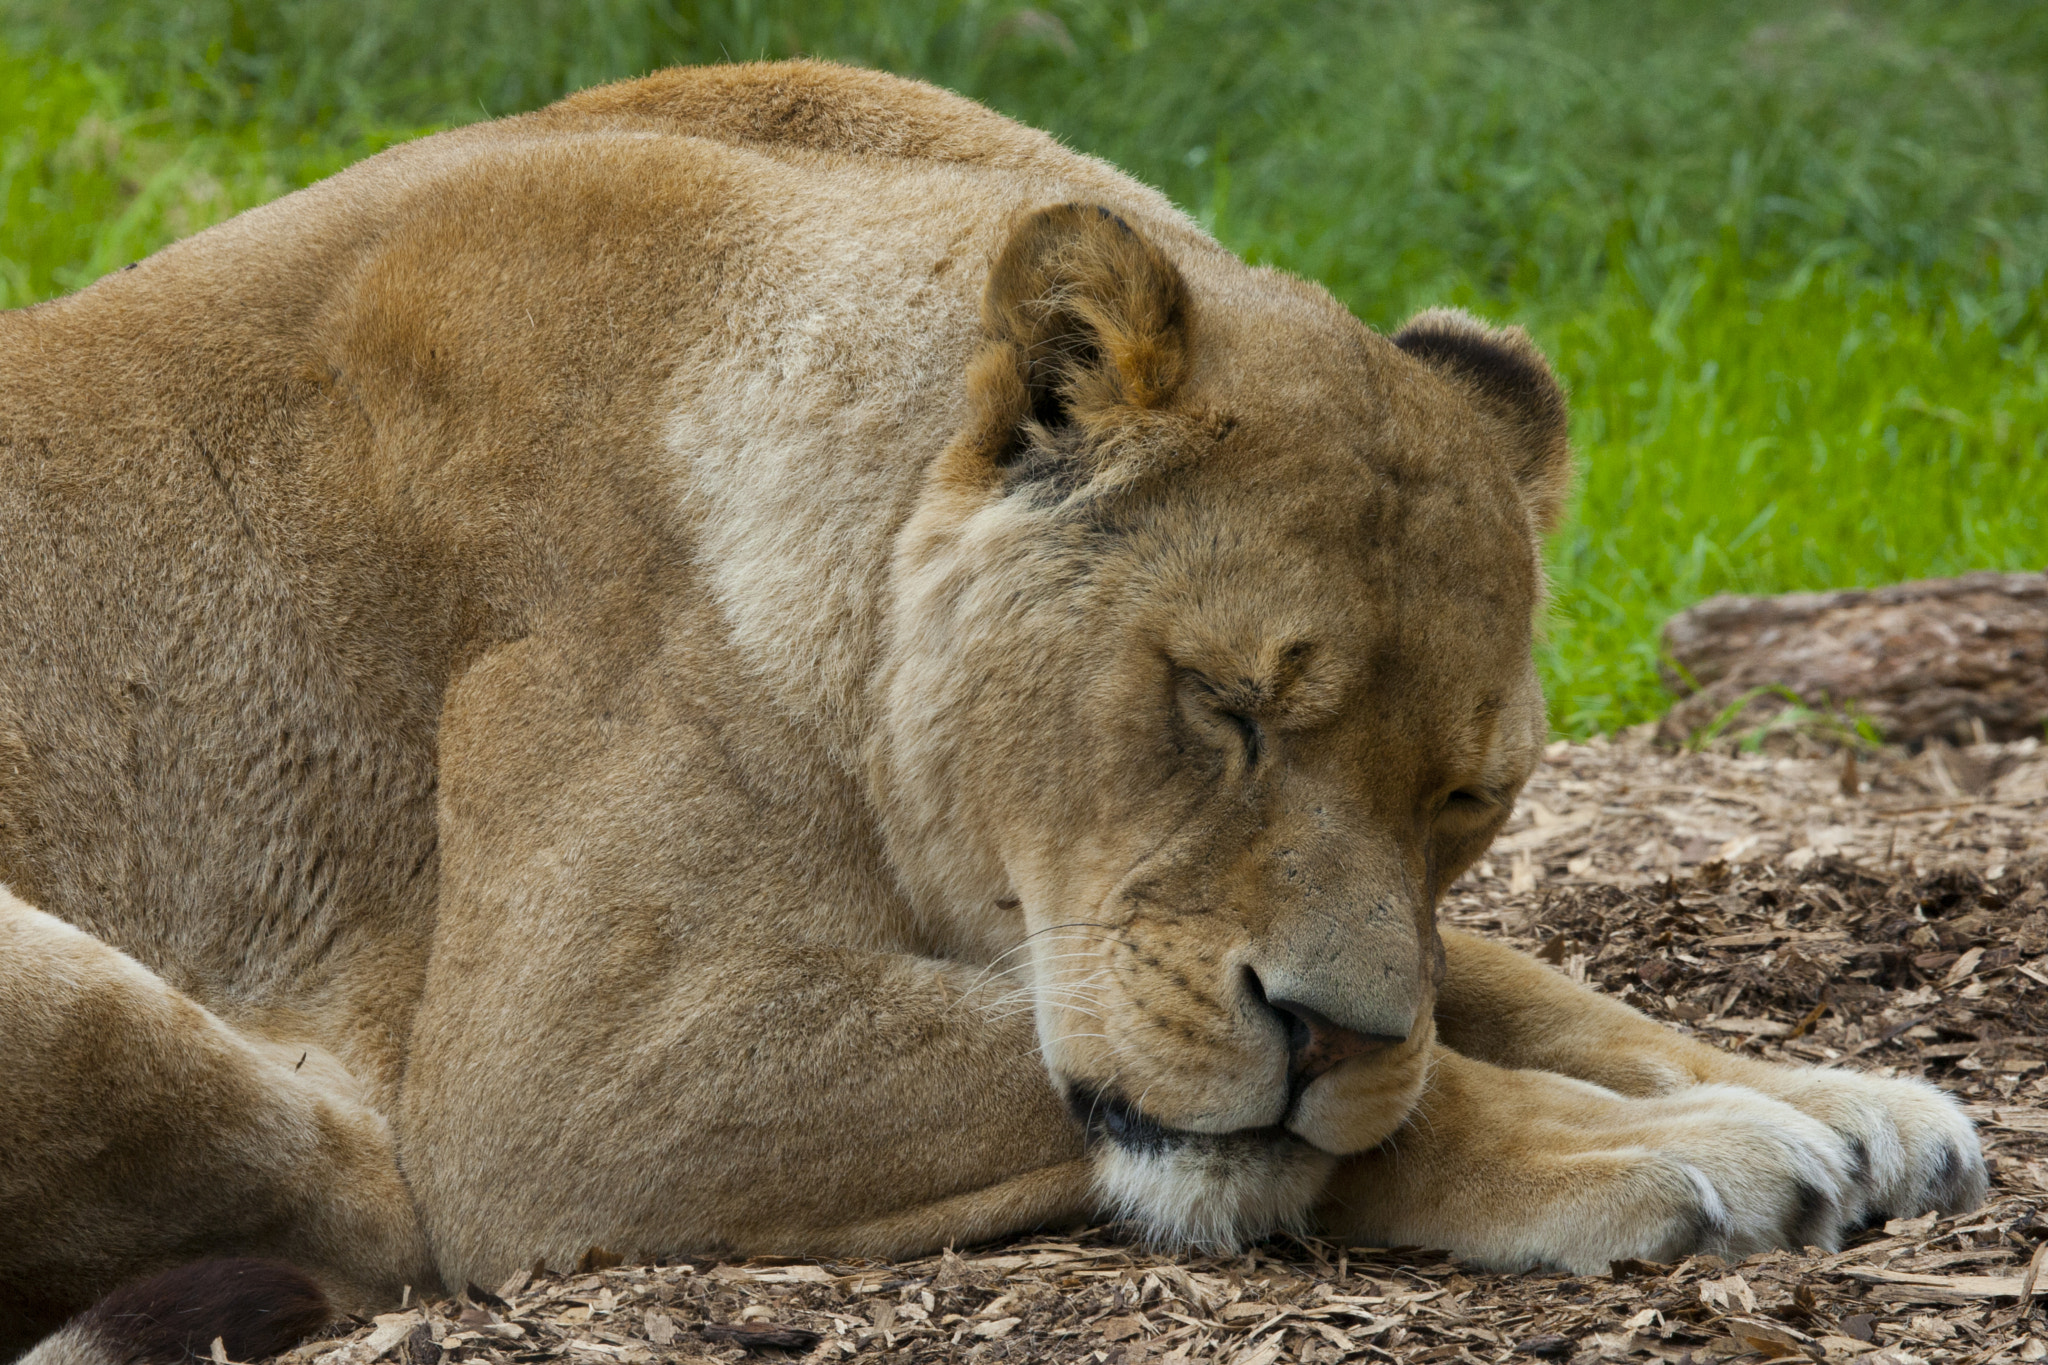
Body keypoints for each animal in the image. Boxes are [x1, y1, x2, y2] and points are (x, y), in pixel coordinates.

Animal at [1, 60, 1982, 1359]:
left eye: (1466, 799)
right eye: (1219, 707)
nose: (1320, 1030)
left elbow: (1492, 987)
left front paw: (1838, 1097)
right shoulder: (580, 1073)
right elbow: (1349, 1098)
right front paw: (1681, 1146)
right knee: (349, 1192)